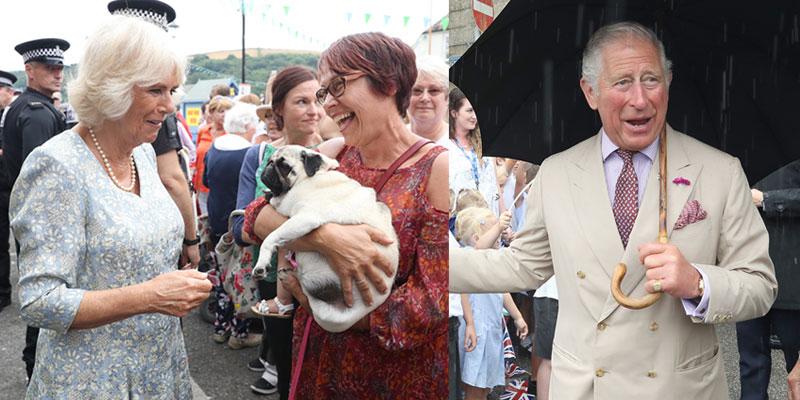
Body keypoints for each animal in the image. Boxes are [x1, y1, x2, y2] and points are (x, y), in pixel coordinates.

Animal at [253, 145, 396, 332]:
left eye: (284, 166)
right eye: (271, 160)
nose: (268, 166)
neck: (311, 177)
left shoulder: (306, 218)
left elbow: (270, 238)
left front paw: (261, 265)